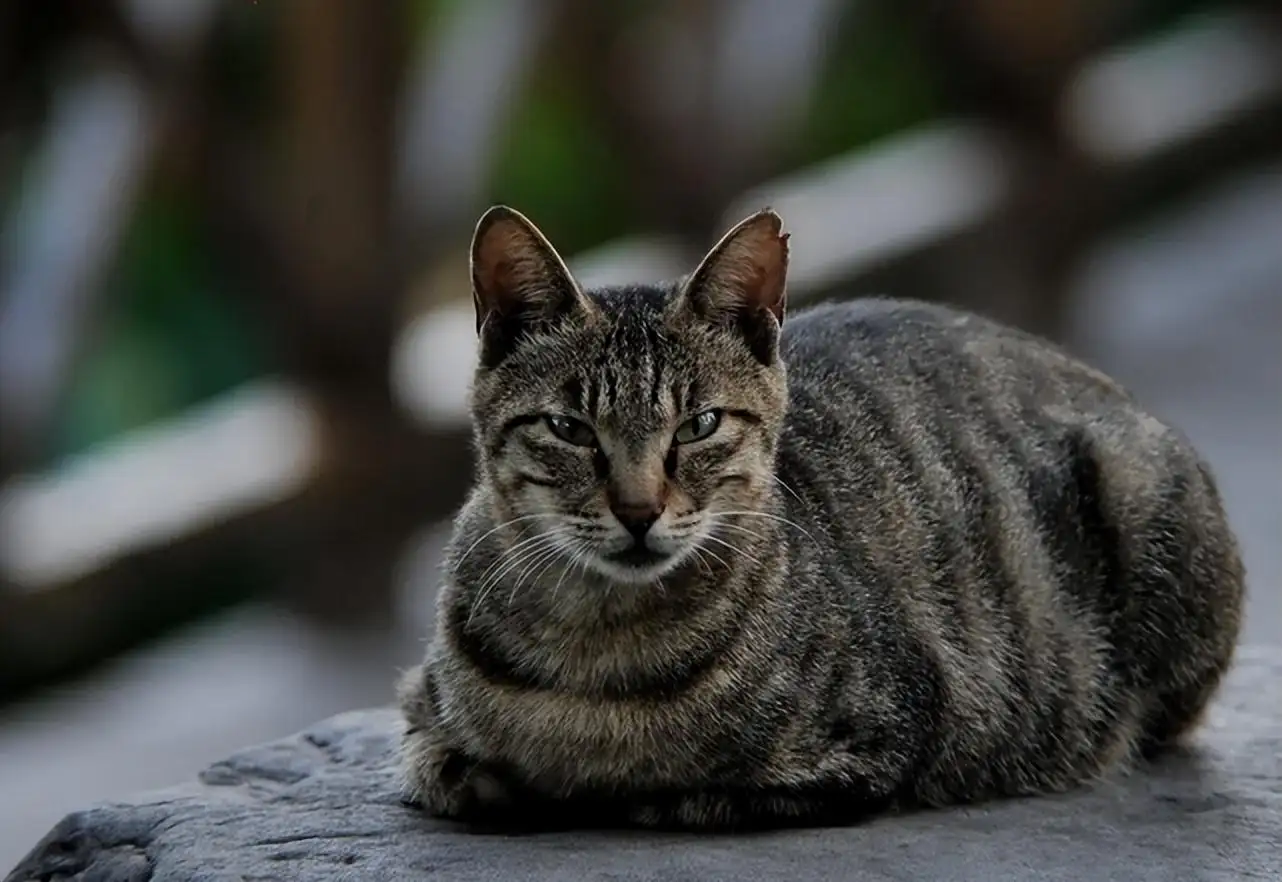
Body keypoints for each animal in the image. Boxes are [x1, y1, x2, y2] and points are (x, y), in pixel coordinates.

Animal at [394, 203, 1246, 830]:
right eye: (570, 429)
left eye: (699, 426)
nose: (638, 510)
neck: (595, 647)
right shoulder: (419, 715)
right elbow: (445, 764)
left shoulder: (894, 736)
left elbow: (687, 795)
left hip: (1139, 494)